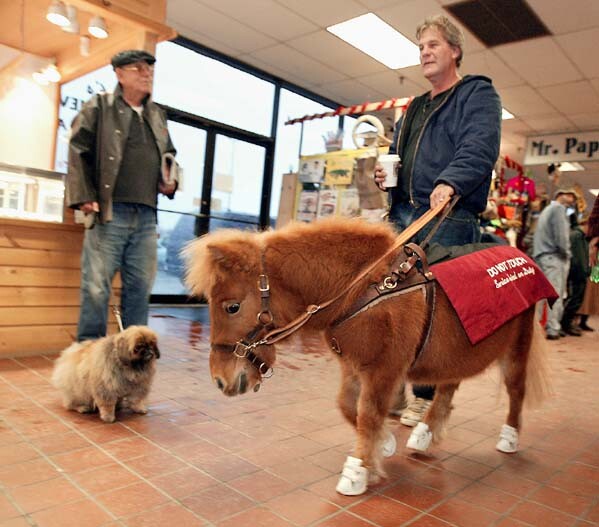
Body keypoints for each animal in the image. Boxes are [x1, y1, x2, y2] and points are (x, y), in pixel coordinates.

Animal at [185, 218, 552, 496]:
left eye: (232, 307)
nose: (220, 380)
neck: (363, 289)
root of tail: (522, 255)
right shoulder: (353, 367)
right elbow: (349, 407)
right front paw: (384, 443)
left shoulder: (384, 371)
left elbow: (369, 413)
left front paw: (358, 470)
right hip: (459, 351)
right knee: (448, 388)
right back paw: (425, 433)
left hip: (517, 346)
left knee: (515, 390)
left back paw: (509, 438)